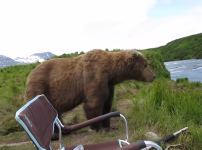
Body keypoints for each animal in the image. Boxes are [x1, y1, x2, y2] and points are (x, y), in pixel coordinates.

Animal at [24, 49, 155, 132]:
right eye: (145, 65)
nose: (153, 76)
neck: (111, 72)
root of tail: (29, 76)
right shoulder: (94, 76)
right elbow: (94, 103)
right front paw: (98, 127)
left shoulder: (109, 84)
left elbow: (107, 103)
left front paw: (109, 126)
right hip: (40, 88)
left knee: (56, 112)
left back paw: (64, 130)